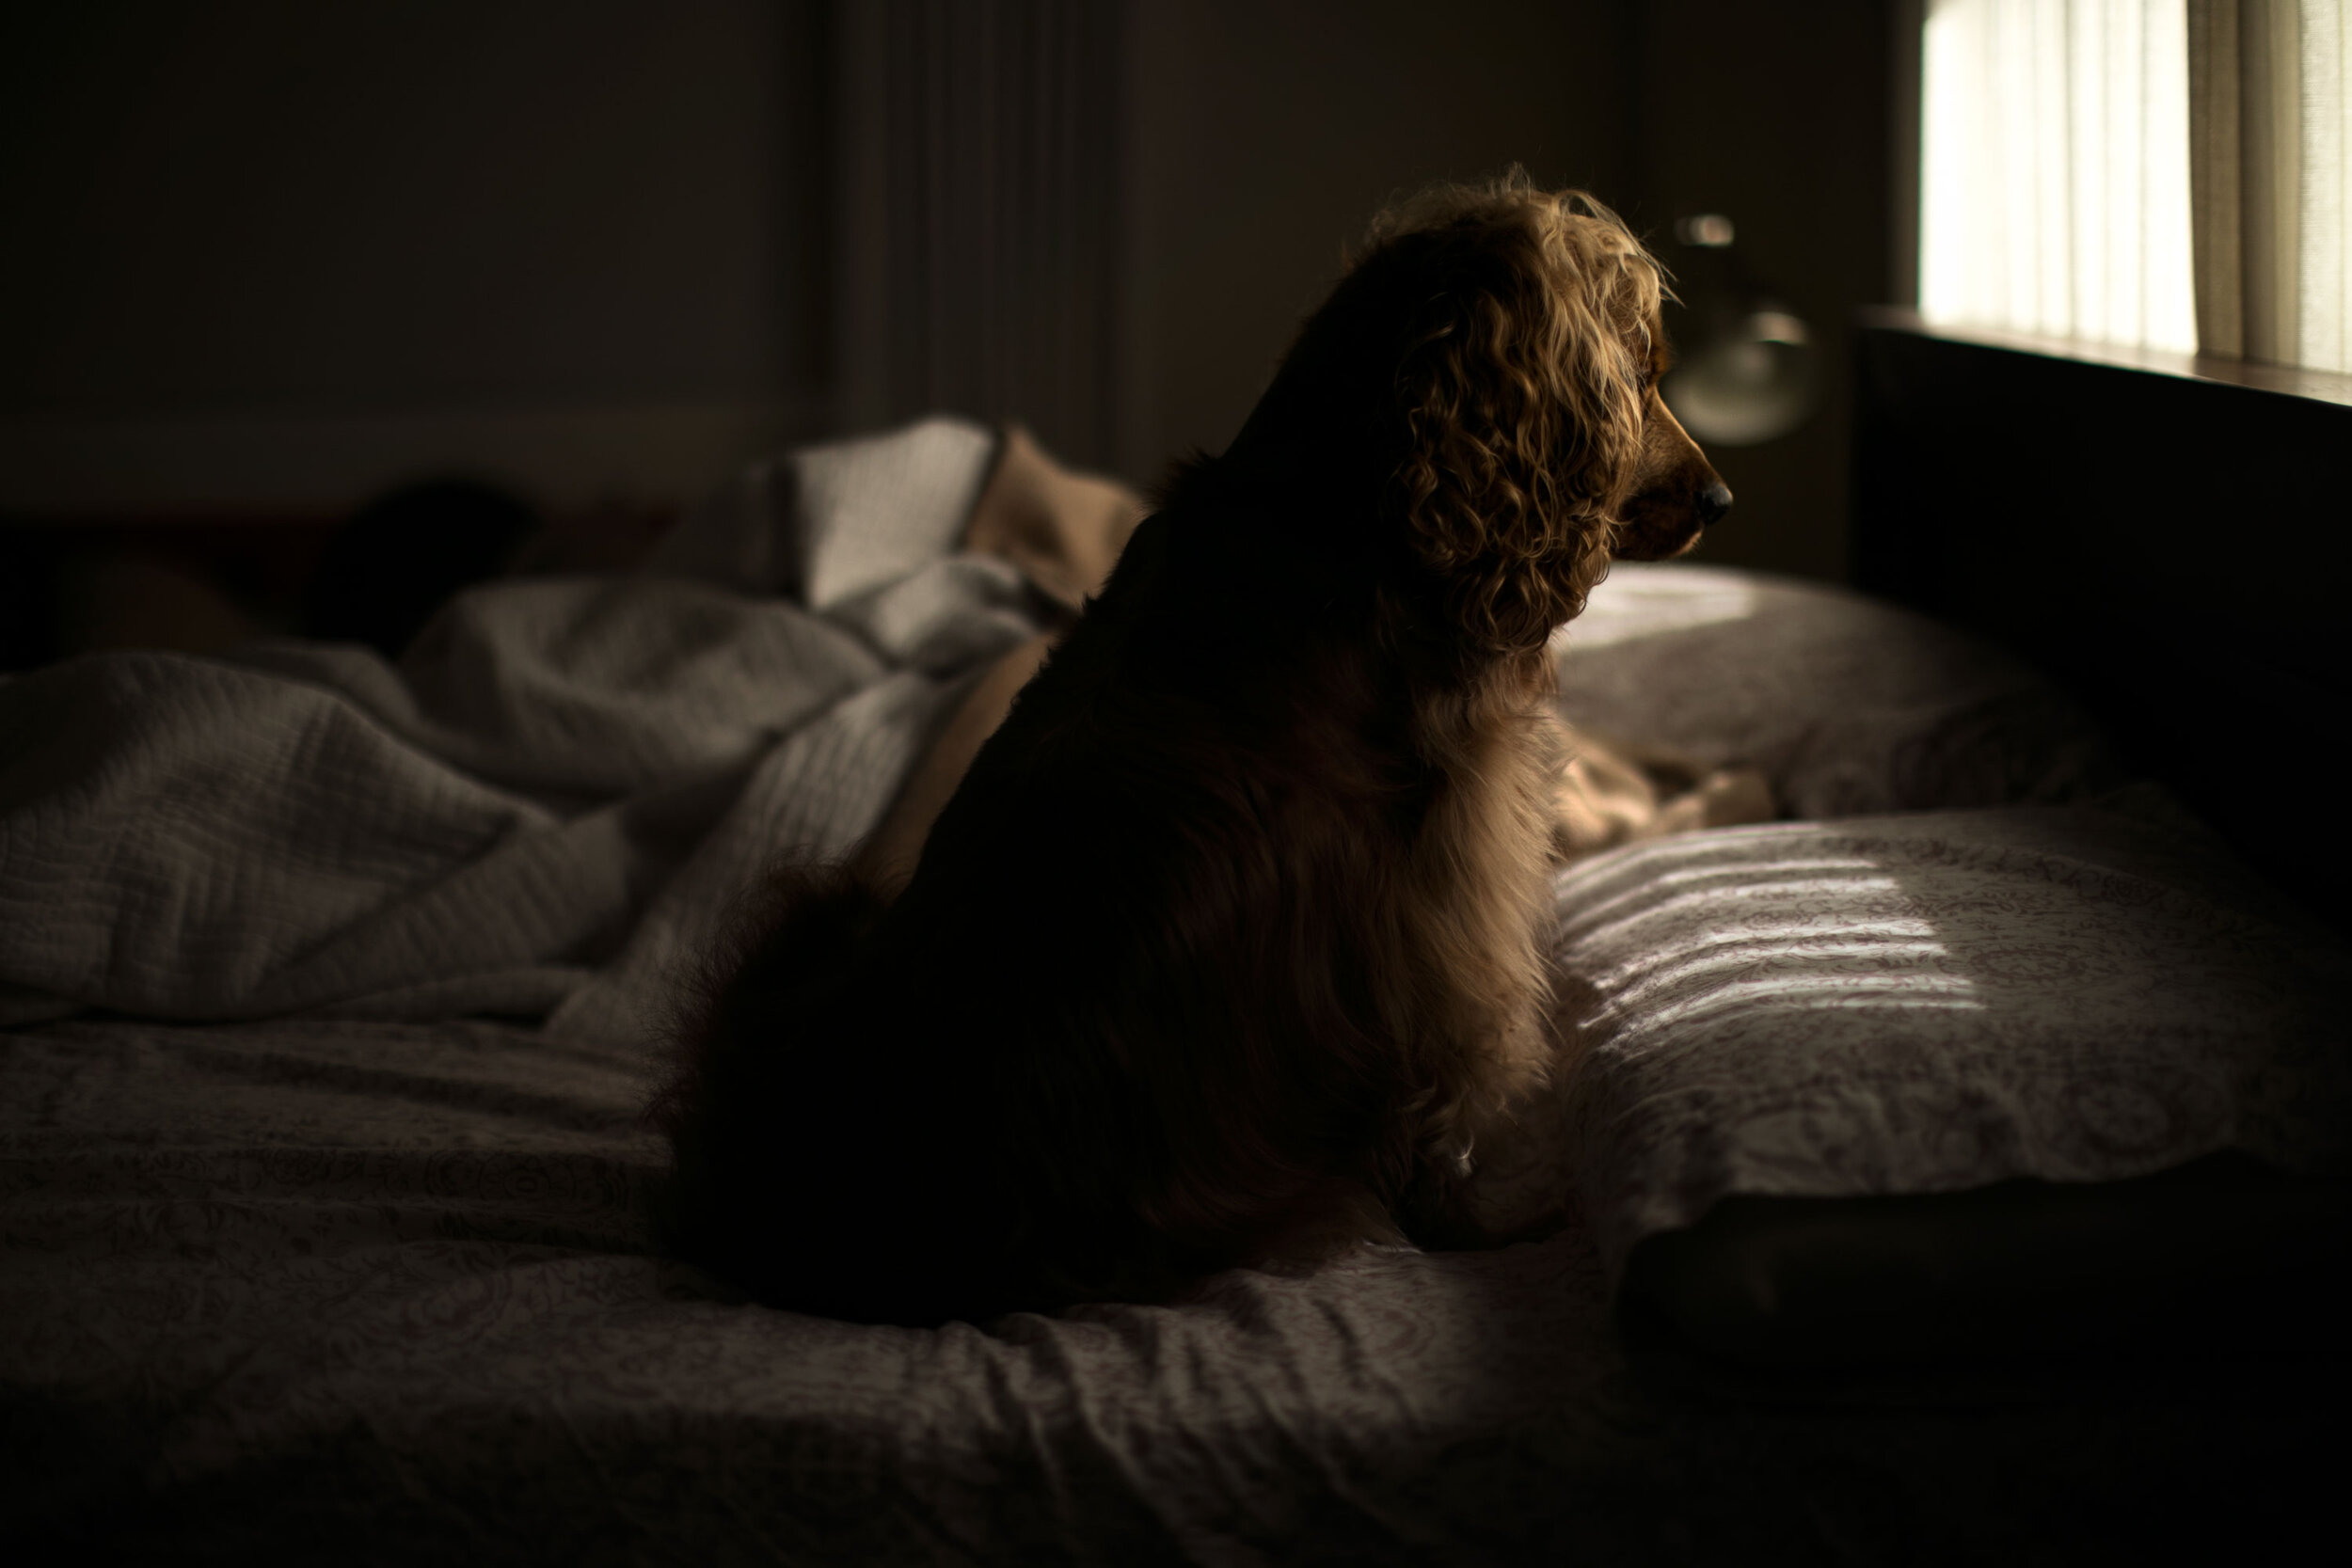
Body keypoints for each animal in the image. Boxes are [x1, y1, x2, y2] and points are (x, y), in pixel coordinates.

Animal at [654, 175, 1740, 1325]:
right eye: (1638, 373)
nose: (1722, 500)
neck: (1336, 506)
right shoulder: (1448, 876)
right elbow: (1452, 1073)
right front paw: (1499, 1224)